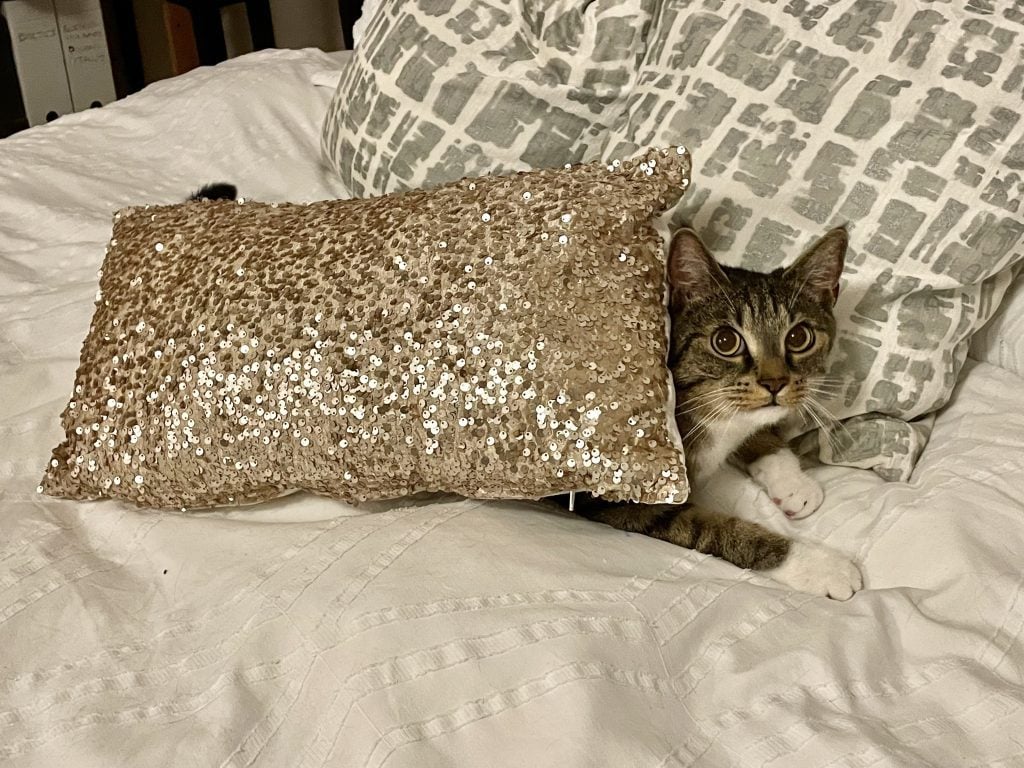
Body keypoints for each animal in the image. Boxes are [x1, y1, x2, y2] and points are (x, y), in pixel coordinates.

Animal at [565, 227, 860, 602]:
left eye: (799, 336)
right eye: (725, 341)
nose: (775, 382)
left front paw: (793, 482)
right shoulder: (618, 500)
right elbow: (711, 528)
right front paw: (818, 565)